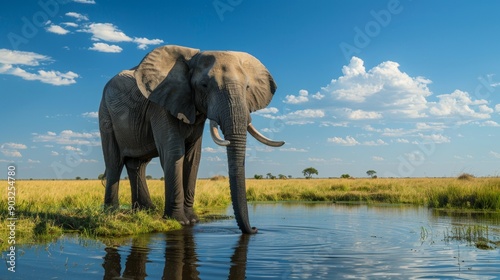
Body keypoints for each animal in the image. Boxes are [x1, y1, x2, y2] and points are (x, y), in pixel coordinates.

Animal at [99, 45, 284, 234]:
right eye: (204, 85)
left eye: (247, 87)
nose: (254, 229)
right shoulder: (162, 103)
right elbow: (174, 153)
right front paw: (179, 221)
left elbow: (193, 157)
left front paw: (193, 220)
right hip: (105, 113)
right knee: (114, 162)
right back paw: (112, 214)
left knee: (137, 164)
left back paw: (146, 211)